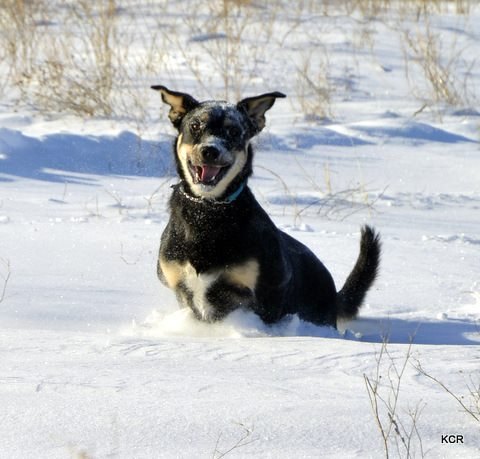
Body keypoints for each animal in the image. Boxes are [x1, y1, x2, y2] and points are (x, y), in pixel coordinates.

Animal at [152, 86, 380, 328]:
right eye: (195, 125)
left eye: (234, 131)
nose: (210, 150)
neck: (206, 211)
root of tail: (334, 295)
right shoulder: (181, 287)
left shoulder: (266, 294)